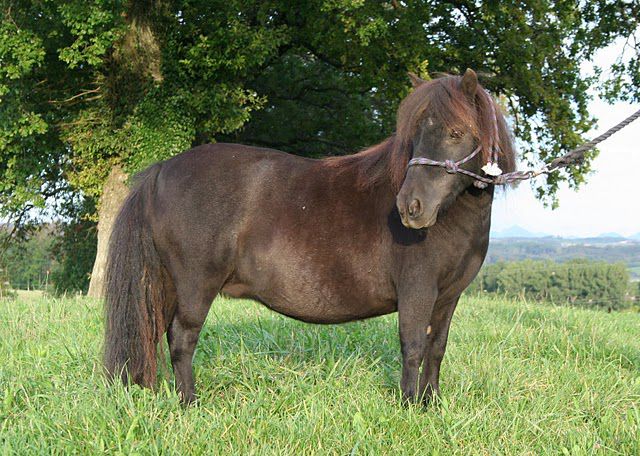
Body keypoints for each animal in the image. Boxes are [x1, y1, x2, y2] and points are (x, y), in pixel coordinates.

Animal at [104, 68, 516, 404]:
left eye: (456, 133)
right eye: (414, 135)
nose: (410, 207)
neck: (452, 216)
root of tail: (161, 169)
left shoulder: (447, 297)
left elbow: (436, 348)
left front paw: (432, 405)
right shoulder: (418, 290)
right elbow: (413, 347)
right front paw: (410, 407)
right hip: (194, 287)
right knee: (181, 339)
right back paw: (190, 403)